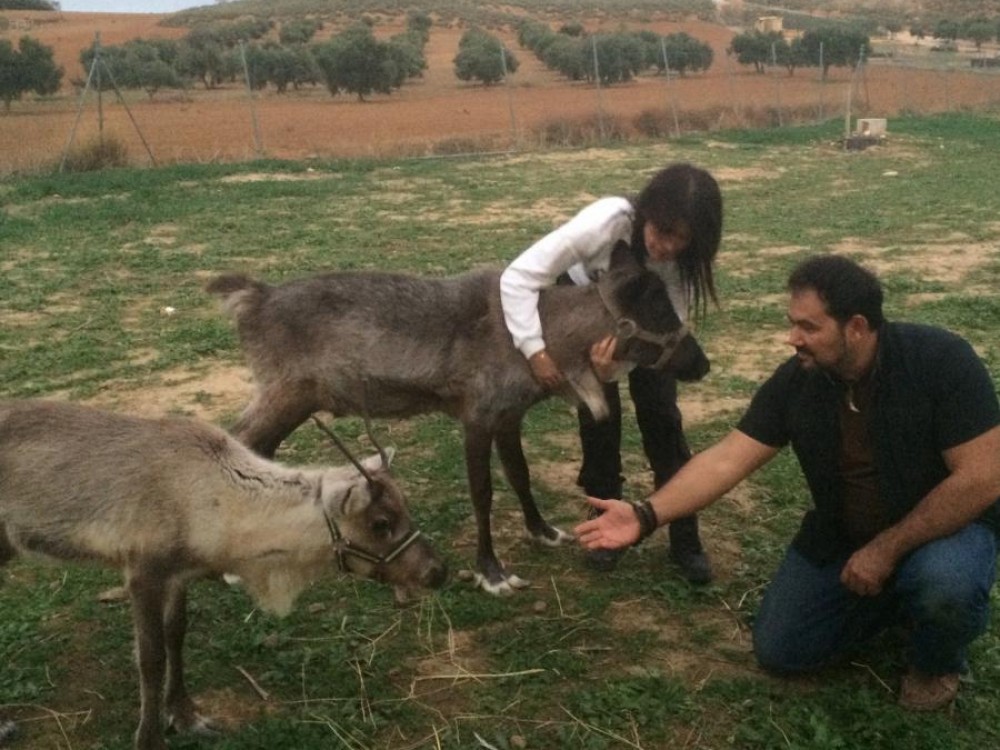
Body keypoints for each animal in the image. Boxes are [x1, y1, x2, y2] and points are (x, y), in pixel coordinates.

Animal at [0, 399, 446, 750]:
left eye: (406, 507)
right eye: (381, 523)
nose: (437, 572)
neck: (219, 505)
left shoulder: (181, 573)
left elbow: (176, 635)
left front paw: (185, 715)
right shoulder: (142, 572)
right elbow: (151, 658)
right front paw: (150, 738)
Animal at [207, 243, 709, 595]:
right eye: (659, 309)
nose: (701, 363)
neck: (547, 344)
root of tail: (253, 297)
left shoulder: (509, 416)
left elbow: (520, 475)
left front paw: (544, 531)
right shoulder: (477, 417)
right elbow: (483, 493)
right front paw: (493, 572)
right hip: (282, 393)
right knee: (239, 442)